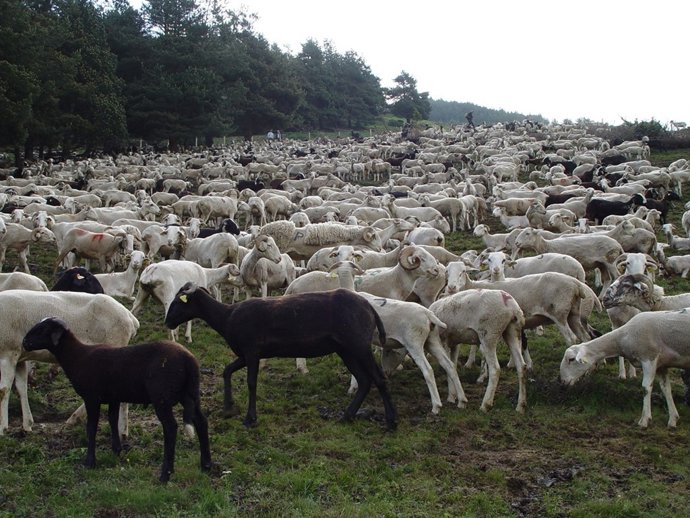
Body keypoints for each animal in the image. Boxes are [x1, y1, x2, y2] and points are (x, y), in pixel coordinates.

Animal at [0, 290, 139, 436]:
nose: (25, 342)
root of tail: (130, 318)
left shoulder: (8, 352)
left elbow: (3, 390)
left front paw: (2, 428)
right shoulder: (18, 358)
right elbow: (21, 389)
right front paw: (27, 425)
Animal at [22, 317, 211, 482]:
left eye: (42, 329)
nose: (24, 342)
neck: (77, 357)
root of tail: (188, 359)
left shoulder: (92, 398)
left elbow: (91, 428)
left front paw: (90, 462)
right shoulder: (114, 397)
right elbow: (112, 420)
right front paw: (117, 450)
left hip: (162, 398)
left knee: (171, 428)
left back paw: (165, 474)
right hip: (190, 394)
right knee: (201, 422)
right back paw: (206, 465)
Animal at [164, 284, 397, 430]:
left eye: (178, 302)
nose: (167, 322)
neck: (226, 317)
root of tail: (370, 308)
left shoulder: (252, 352)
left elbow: (251, 382)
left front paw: (250, 419)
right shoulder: (246, 354)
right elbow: (227, 370)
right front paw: (228, 408)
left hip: (359, 345)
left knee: (379, 379)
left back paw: (391, 422)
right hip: (346, 350)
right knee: (365, 380)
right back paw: (347, 416)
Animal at [560, 309, 690, 428]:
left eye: (571, 359)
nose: (562, 381)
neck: (624, 337)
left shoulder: (649, 358)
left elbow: (646, 388)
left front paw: (644, 420)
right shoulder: (661, 365)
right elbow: (666, 389)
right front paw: (673, 419)